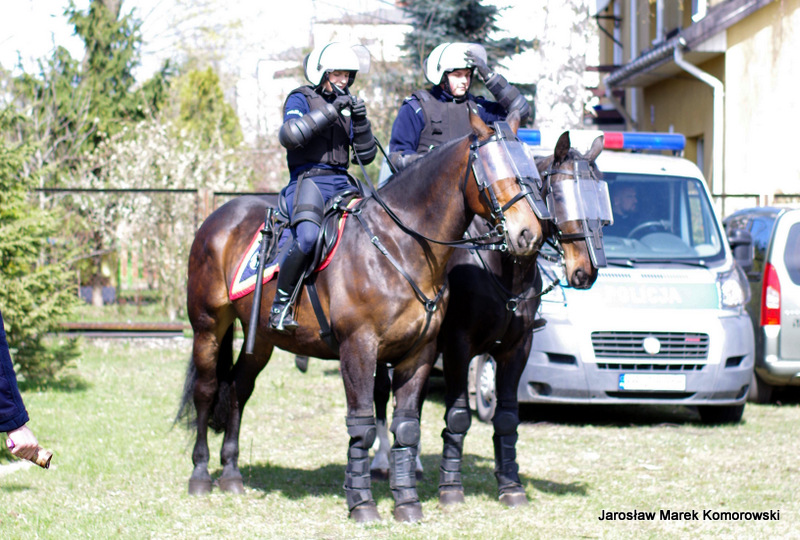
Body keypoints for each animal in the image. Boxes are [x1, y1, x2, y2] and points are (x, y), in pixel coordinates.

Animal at [176, 110, 544, 523]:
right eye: (495, 172)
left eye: (531, 171)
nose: (530, 234)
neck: (400, 246)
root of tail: (219, 217)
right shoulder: (359, 349)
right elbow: (363, 425)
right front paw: (363, 504)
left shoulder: (418, 354)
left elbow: (407, 428)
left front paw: (407, 503)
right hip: (208, 327)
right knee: (207, 390)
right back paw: (201, 473)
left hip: (262, 342)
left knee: (239, 388)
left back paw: (231, 474)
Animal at [370, 132, 606, 508]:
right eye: (558, 196)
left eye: (600, 196)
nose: (585, 271)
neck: (505, 268)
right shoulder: (458, 346)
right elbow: (458, 416)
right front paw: (450, 489)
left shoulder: (517, 348)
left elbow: (507, 418)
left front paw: (511, 486)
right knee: (381, 395)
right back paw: (382, 461)